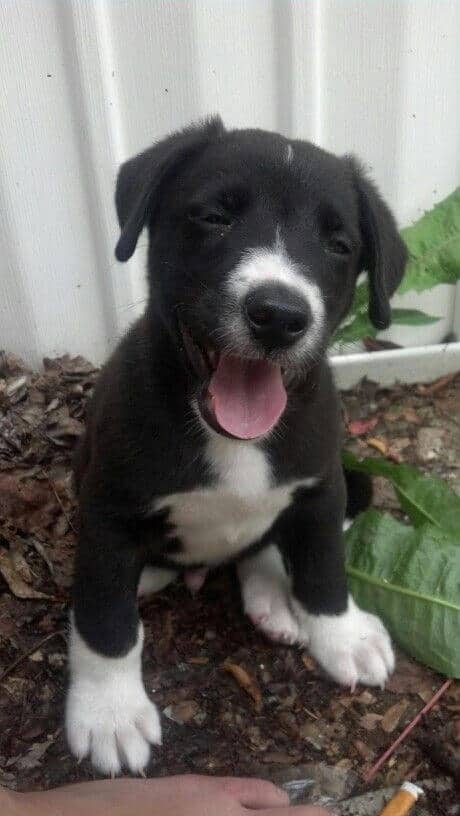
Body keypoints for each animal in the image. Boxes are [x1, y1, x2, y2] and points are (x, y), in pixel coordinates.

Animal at [65, 115, 406, 772]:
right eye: (215, 217)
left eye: (338, 244)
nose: (279, 315)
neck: (233, 438)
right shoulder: (107, 507)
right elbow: (105, 619)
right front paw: (109, 713)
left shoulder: (321, 487)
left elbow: (324, 568)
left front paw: (342, 634)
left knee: (263, 545)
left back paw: (274, 599)